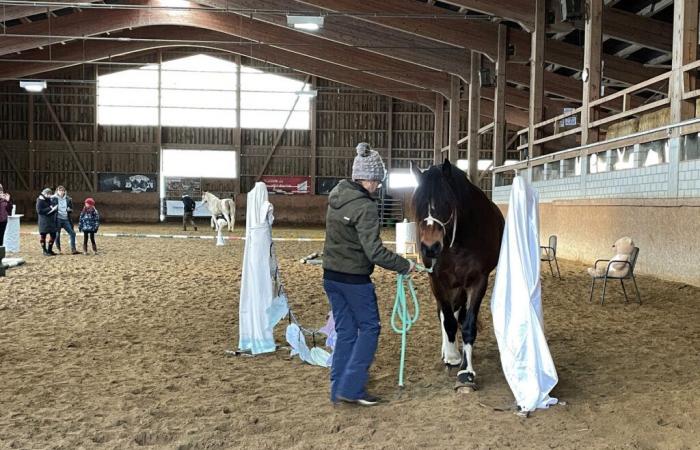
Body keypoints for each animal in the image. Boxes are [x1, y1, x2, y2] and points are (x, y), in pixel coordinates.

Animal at [410, 160, 504, 388]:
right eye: (418, 203)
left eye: (446, 202)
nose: (430, 248)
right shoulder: (437, 280)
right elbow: (448, 321)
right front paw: (452, 357)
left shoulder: (477, 281)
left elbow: (468, 324)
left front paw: (466, 372)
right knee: (446, 315)